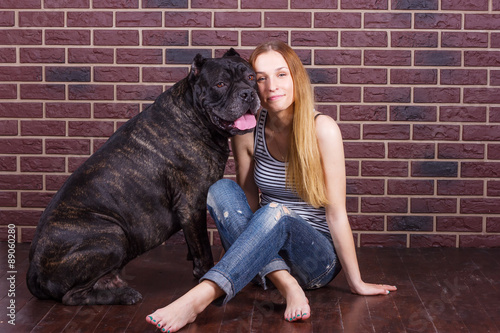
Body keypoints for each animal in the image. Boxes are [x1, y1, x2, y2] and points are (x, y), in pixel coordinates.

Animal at [26, 48, 262, 304]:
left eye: (252, 78)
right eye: (220, 84)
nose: (248, 93)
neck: (195, 116)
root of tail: (33, 272)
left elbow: (193, 242)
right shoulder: (192, 204)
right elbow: (203, 249)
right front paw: (206, 274)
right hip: (113, 236)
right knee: (72, 296)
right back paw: (124, 295)